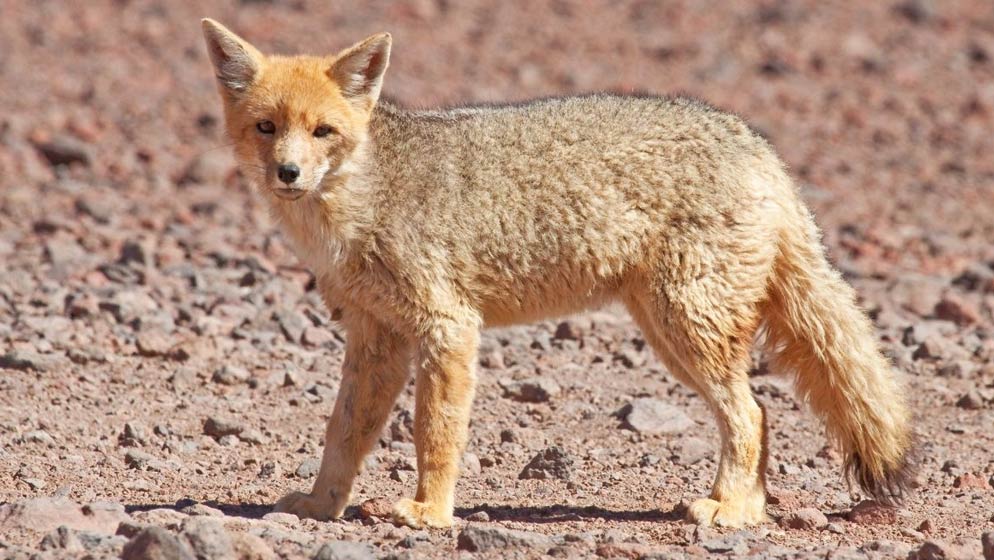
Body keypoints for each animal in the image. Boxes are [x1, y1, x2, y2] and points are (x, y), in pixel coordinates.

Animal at [202, 19, 916, 528]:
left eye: (323, 131)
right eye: (266, 127)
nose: (287, 173)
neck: (361, 201)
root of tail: (758, 144)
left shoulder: (448, 328)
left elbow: (437, 432)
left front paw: (429, 512)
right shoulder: (376, 335)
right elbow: (343, 432)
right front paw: (321, 505)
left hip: (688, 329)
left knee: (754, 413)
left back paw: (730, 510)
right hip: (669, 333)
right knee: (759, 414)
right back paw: (748, 508)